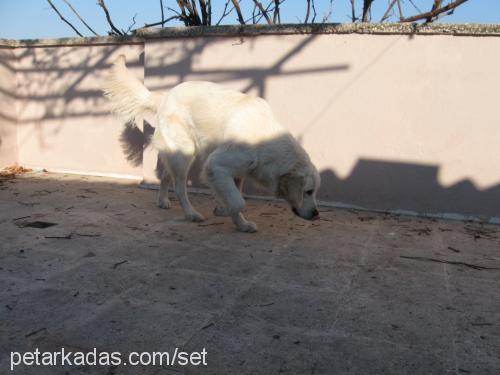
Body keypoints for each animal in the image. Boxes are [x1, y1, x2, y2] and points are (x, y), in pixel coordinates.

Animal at [102, 55, 320, 232]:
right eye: (308, 192)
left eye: (313, 192)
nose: (317, 215)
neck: (265, 138)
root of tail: (165, 96)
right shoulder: (217, 165)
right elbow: (239, 202)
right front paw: (223, 210)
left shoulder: (236, 172)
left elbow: (235, 197)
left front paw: (241, 224)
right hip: (185, 152)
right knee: (179, 187)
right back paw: (191, 214)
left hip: (178, 153)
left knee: (165, 176)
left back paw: (163, 201)